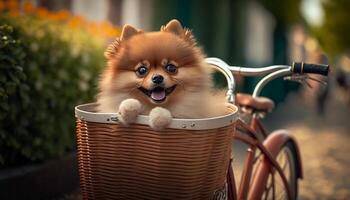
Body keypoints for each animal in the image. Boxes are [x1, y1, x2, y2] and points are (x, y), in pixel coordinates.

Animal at [95, 19, 227, 130]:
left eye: (171, 67)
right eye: (142, 70)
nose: (157, 77)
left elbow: (165, 112)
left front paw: (158, 117)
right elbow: (127, 103)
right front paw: (128, 109)